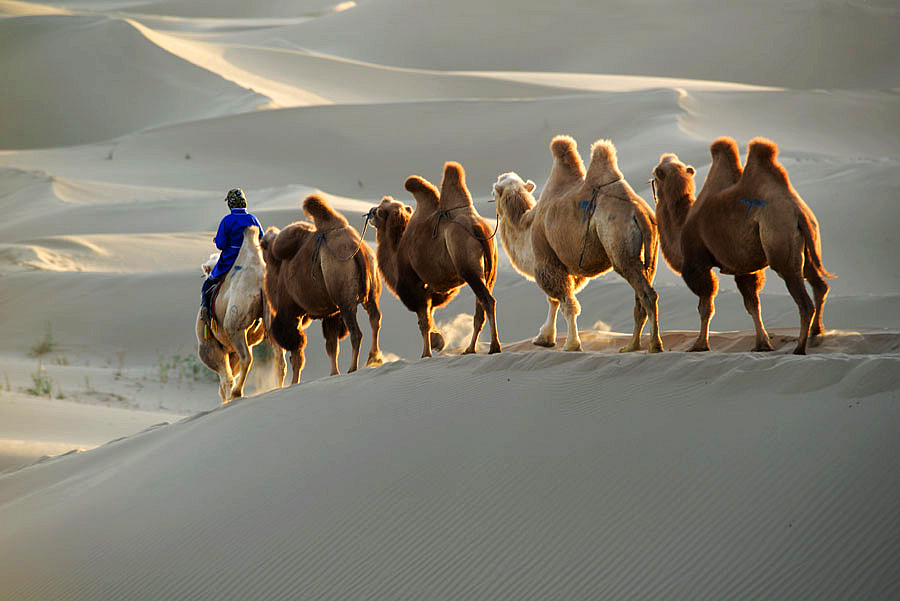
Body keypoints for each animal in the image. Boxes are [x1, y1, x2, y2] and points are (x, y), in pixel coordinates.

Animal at [196, 225, 284, 404]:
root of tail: (260, 283)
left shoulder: (207, 344)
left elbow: (225, 377)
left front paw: (226, 399)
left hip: (234, 325)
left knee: (246, 358)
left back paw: (237, 393)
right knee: (279, 355)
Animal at [258, 193, 382, 380]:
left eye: (263, 245)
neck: (277, 264)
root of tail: (357, 249)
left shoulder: (290, 311)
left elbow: (297, 352)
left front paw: (295, 382)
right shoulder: (331, 313)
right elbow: (332, 346)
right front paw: (333, 373)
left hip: (345, 300)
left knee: (356, 332)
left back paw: (353, 367)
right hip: (370, 292)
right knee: (375, 318)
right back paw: (373, 358)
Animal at [368, 161, 506, 356]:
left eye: (380, 211)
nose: (371, 211)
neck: (397, 251)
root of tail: (477, 226)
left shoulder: (416, 290)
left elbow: (423, 324)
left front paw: (426, 353)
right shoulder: (431, 292)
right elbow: (429, 319)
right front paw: (437, 342)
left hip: (468, 268)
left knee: (487, 301)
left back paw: (493, 346)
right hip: (490, 268)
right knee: (480, 308)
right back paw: (470, 349)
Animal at [492, 135, 660, 352]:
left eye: (494, 191)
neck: (526, 225)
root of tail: (639, 212)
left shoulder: (546, 260)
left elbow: (566, 303)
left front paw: (571, 344)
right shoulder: (565, 265)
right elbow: (555, 301)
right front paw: (545, 338)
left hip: (621, 249)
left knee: (646, 294)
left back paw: (650, 345)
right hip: (651, 250)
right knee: (641, 296)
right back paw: (634, 345)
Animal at [652, 137, 832, 354]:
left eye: (656, 172)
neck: (682, 224)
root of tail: (799, 213)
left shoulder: (696, 264)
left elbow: (706, 306)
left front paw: (700, 345)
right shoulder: (744, 268)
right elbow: (753, 304)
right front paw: (762, 344)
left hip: (781, 246)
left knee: (804, 301)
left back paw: (799, 348)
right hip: (808, 245)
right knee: (819, 285)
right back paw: (816, 333)